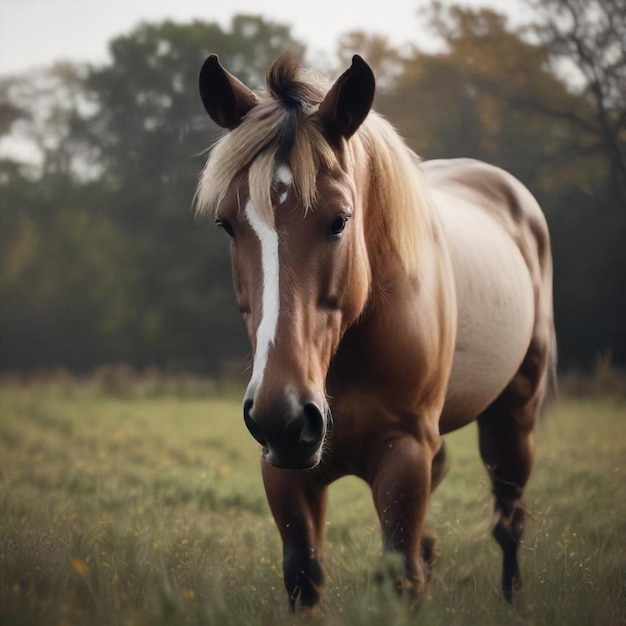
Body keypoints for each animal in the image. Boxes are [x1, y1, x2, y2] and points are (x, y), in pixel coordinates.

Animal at [196, 53, 556, 608]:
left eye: (340, 220)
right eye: (227, 224)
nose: (283, 412)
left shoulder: (404, 454)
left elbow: (400, 572)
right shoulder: (282, 465)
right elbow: (303, 573)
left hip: (513, 415)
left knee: (509, 521)